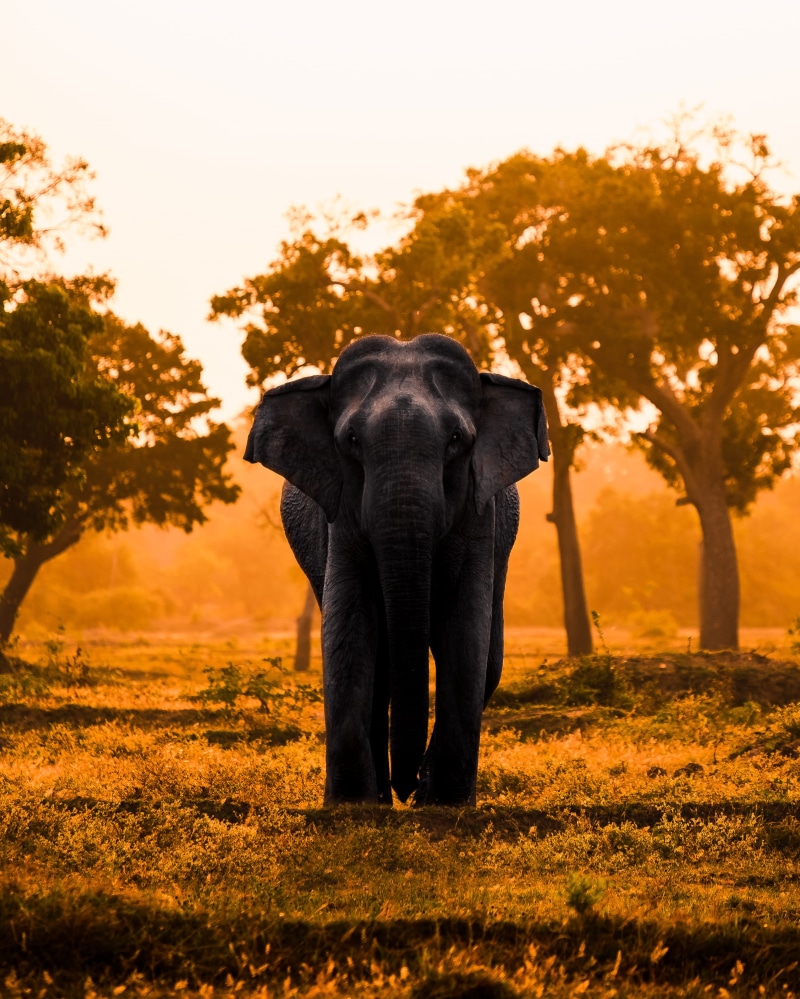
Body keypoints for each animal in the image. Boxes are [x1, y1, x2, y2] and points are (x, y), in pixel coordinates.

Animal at [244, 334, 549, 806]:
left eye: (456, 439)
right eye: (351, 439)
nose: (406, 787)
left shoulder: (482, 515)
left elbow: (466, 631)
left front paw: (444, 803)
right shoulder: (340, 519)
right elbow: (348, 627)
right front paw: (352, 805)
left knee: (489, 659)